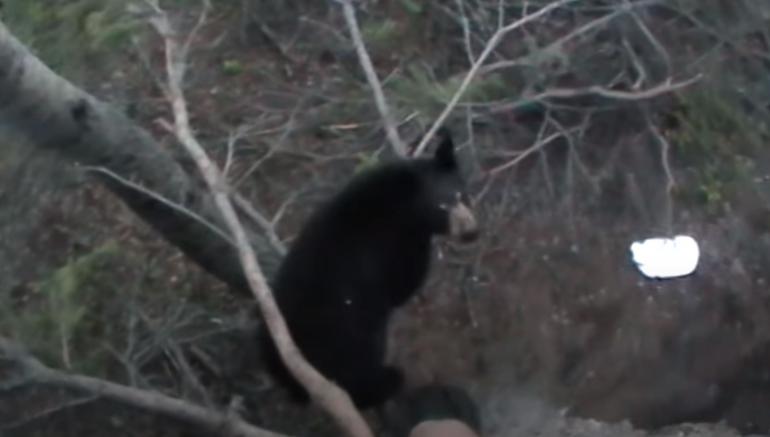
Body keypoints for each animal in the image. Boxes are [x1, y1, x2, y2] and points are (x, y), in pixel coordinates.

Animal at [262, 127, 480, 408]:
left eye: (463, 195)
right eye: (441, 207)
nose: (471, 232)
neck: (399, 206)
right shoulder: (394, 246)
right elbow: (402, 283)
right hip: (350, 335)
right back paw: (387, 381)